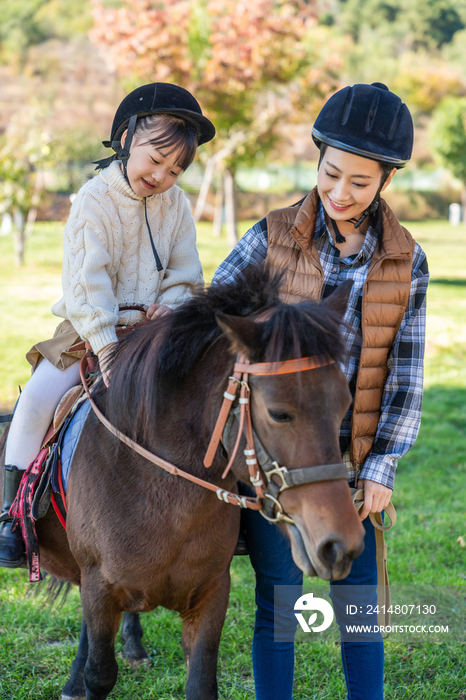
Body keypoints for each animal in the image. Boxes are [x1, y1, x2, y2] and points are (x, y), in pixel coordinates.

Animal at [0, 266, 364, 696]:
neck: (163, 498)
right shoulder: (99, 587)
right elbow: (99, 674)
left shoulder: (211, 594)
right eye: (278, 413)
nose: (340, 543)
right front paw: (84, 679)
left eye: (344, 404)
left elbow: (201, 683)